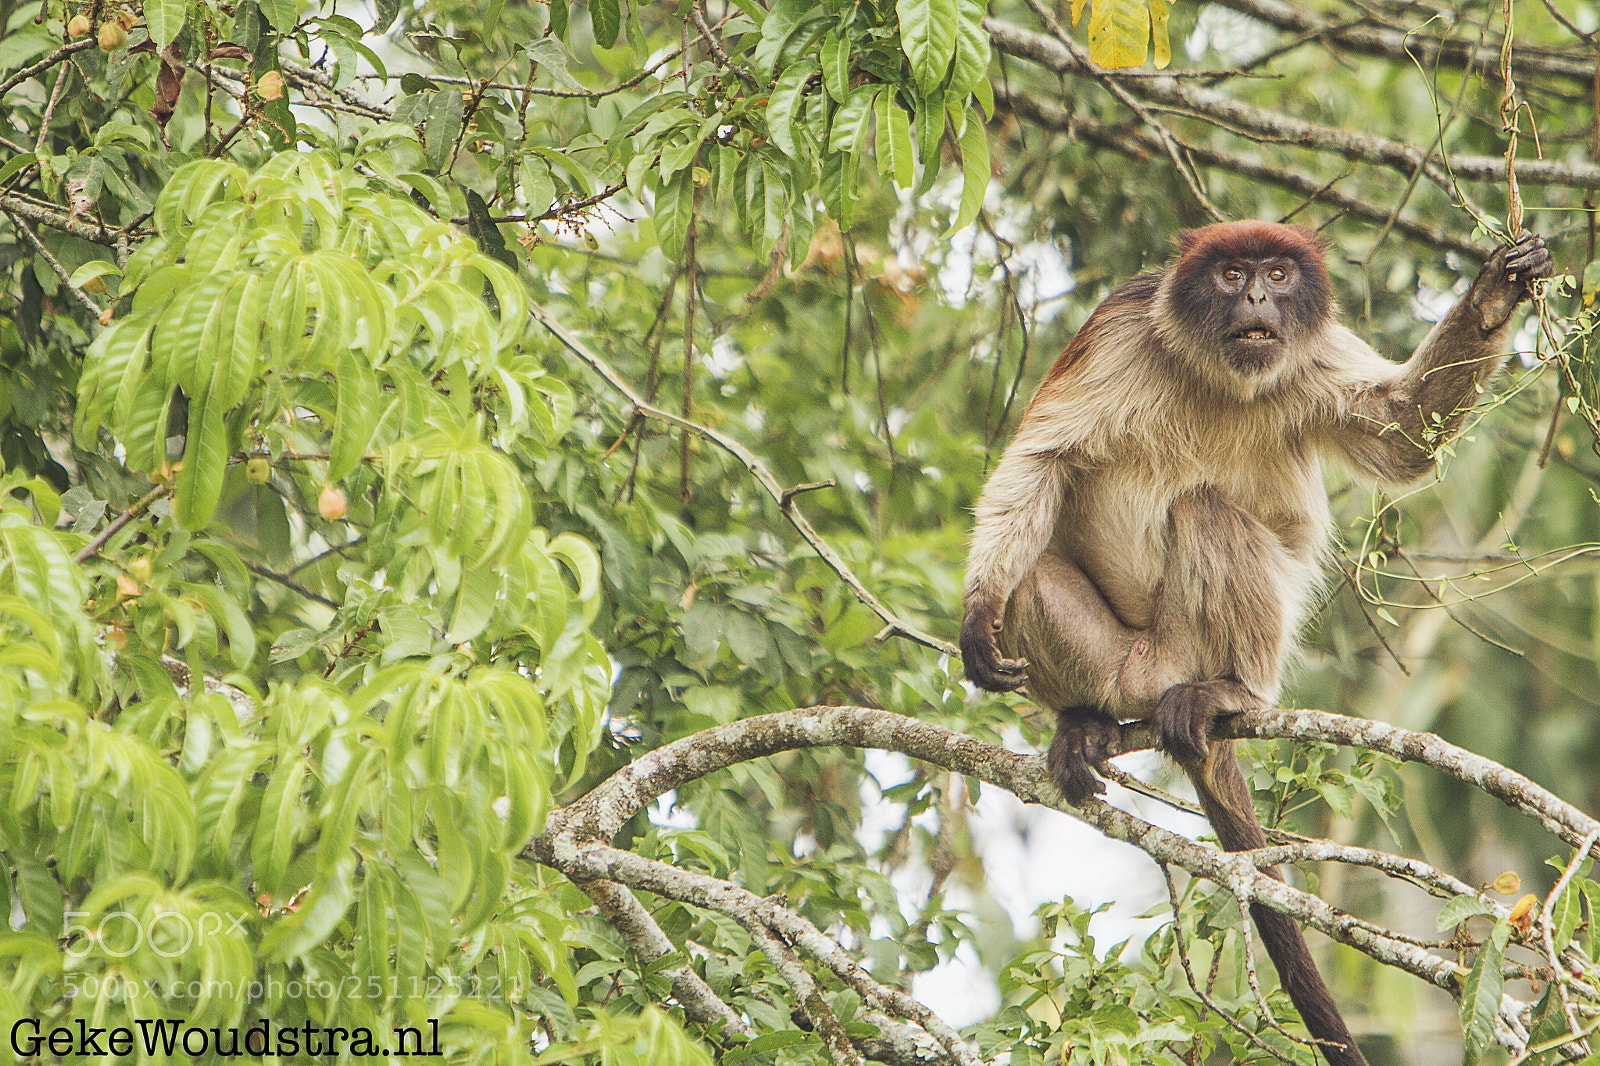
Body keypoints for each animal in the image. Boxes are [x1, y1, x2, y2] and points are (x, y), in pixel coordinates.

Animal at [960, 221, 1552, 1066]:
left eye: (1276, 274)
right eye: (1232, 274)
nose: (1255, 301)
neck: (1219, 377)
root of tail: (1156, 675)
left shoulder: (1311, 353)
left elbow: (1404, 435)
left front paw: (1495, 297)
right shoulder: (1118, 328)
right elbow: (1041, 460)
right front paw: (979, 612)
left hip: (1187, 650)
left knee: (1206, 509)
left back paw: (1227, 693)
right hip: (1121, 657)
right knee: (1037, 572)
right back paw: (1084, 719)